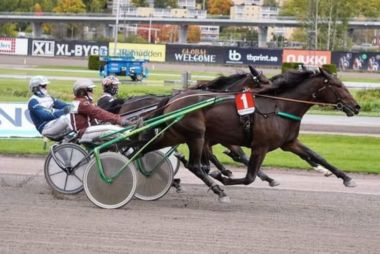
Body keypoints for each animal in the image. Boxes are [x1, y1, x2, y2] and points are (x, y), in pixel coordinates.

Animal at [141, 67, 360, 202]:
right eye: (338, 86)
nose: (356, 107)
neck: (280, 107)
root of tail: (173, 99)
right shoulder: (259, 146)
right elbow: (249, 176)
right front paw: (222, 177)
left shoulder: (289, 142)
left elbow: (317, 156)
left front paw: (345, 178)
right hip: (196, 136)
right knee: (195, 166)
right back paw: (218, 190)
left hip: (175, 134)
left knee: (145, 148)